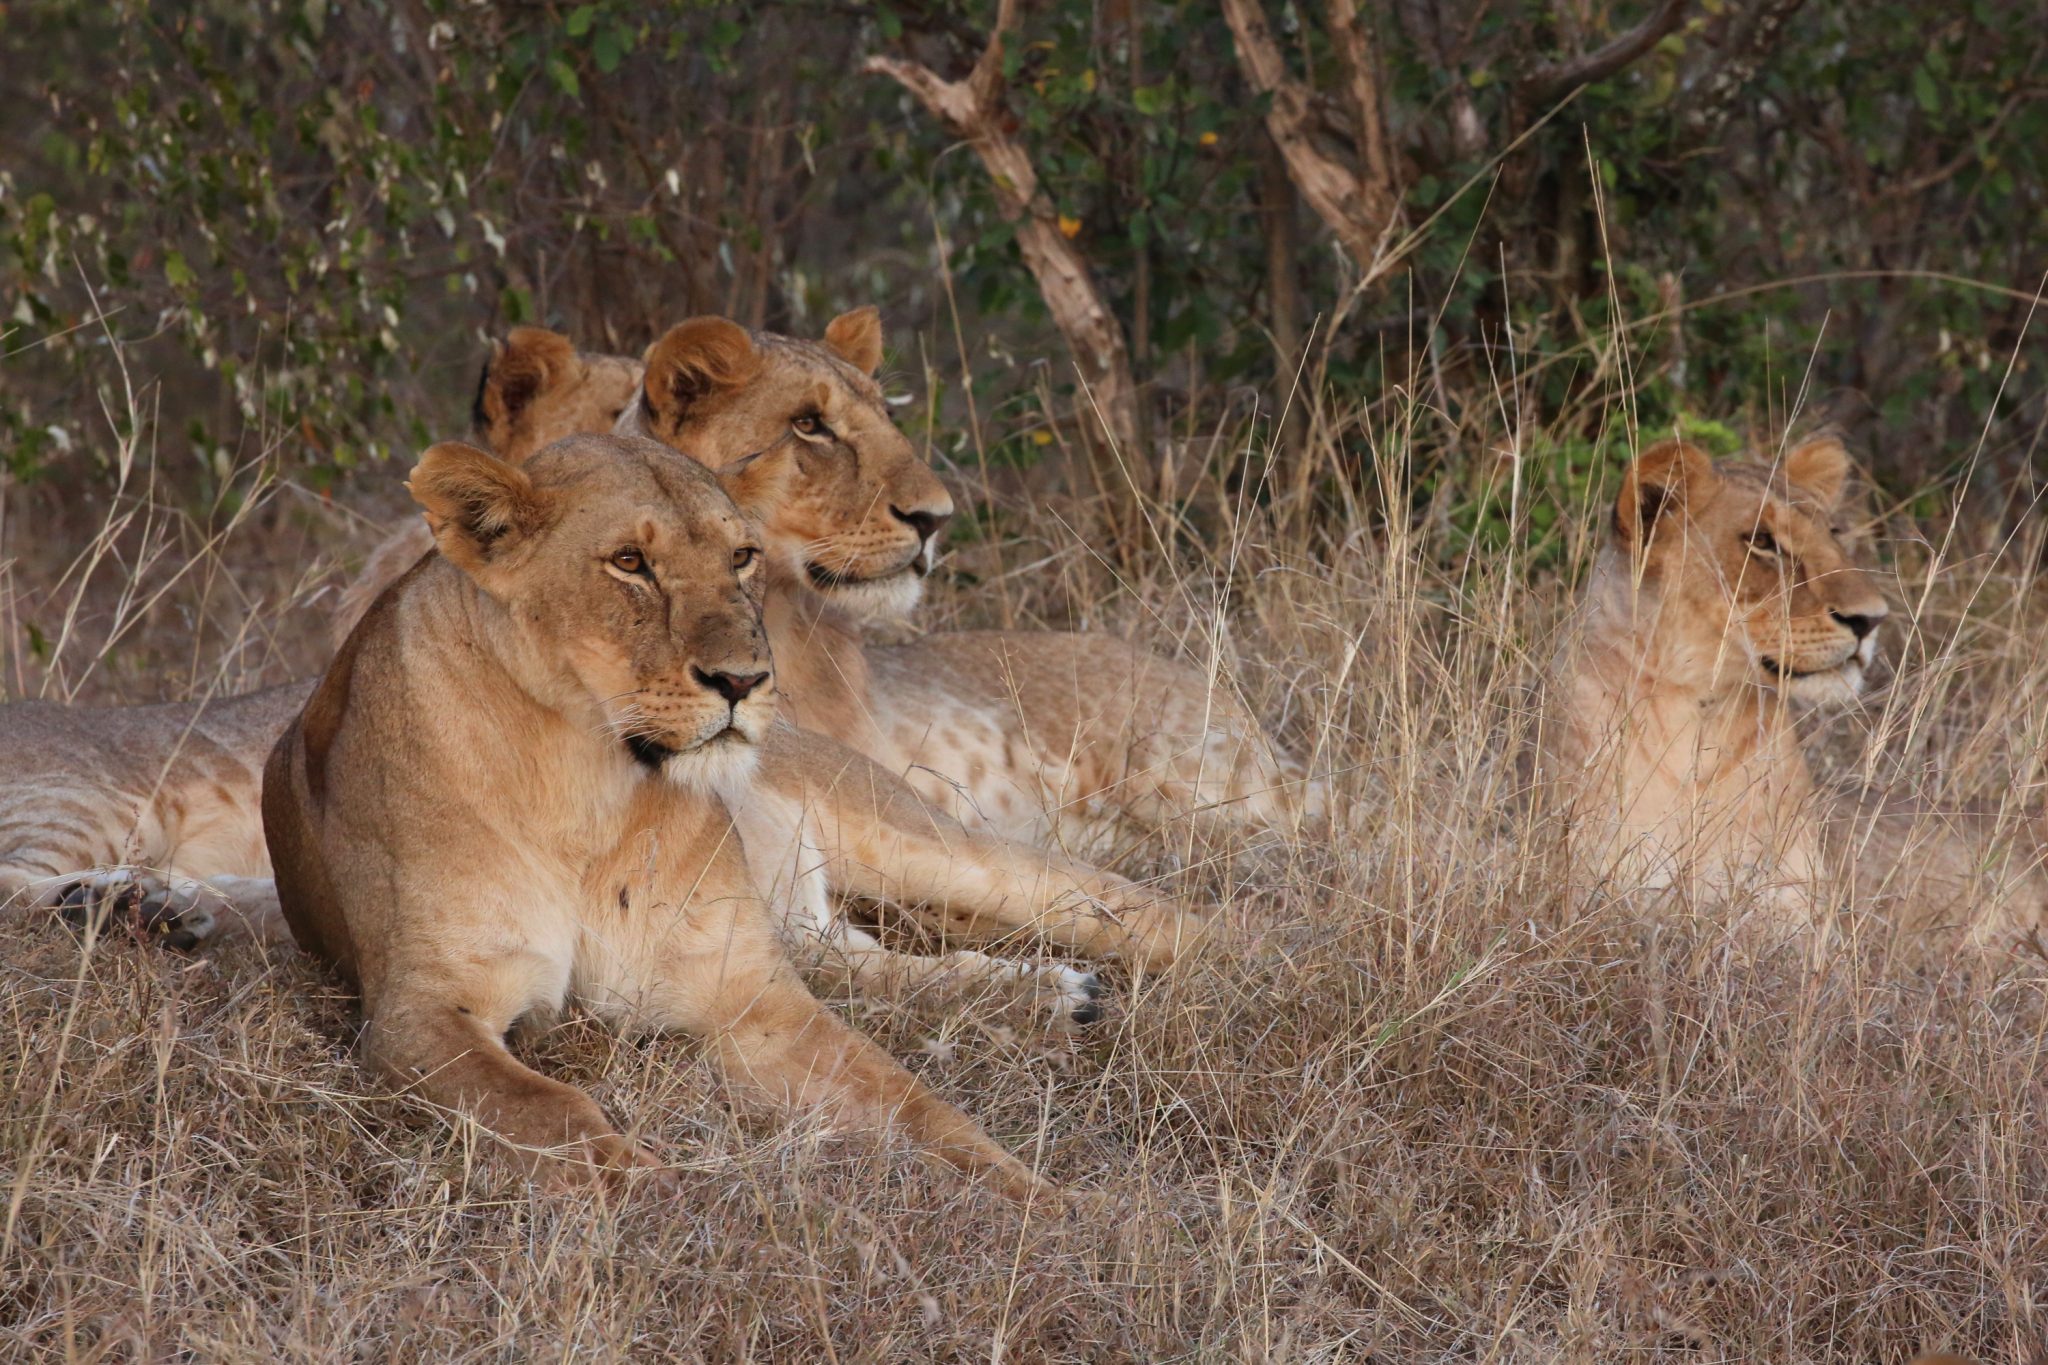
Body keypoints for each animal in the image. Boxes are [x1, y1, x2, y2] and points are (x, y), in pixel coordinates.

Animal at [264, 433, 1051, 1197]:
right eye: (629, 562)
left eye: (741, 556)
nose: (742, 681)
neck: (585, 782)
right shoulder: (418, 1011)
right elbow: (549, 1109)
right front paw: (656, 1193)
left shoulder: (752, 998)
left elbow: (911, 1100)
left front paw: (1040, 1198)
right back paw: (1049, 995)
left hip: (921, 841)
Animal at [1542, 435, 2048, 938]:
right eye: (1763, 542)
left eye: (1834, 533)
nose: (1871, 620)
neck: (1701, 718)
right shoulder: (1596, 895)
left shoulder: (1796, 917)